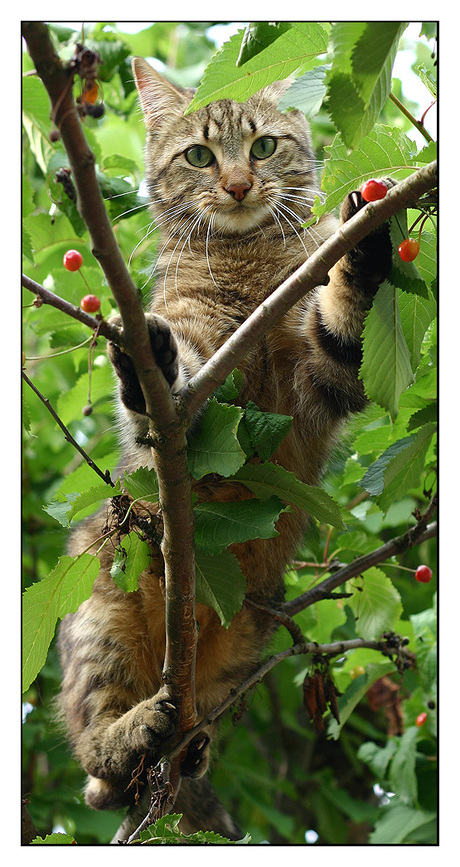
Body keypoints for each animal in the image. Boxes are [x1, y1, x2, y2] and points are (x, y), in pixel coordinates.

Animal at [58, 57, 392, 836]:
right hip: (99, 618)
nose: (238, 185)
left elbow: (343, 323)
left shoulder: (327, 375)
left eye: (263, 147)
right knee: (95, 760)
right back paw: (133, 732)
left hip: (245, 645)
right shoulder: (198, 365)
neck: (252, 262)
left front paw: (362, 249)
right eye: (200, 157)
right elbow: (169, 388)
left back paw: (187, 747)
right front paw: (148, 359)